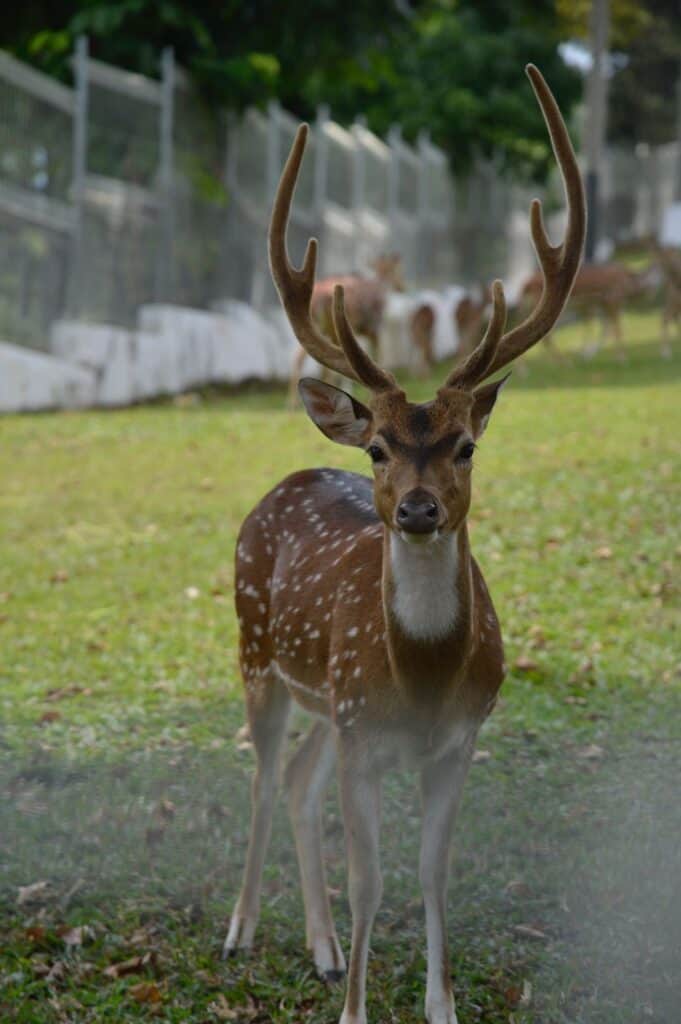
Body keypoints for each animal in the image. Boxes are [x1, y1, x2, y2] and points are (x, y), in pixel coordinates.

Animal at [284, 253, 403, 405]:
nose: (402, 287)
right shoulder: (374, 327)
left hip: (322, 326)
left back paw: (293, 403)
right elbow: (376, 357)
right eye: (397, 270)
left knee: (300, 358)